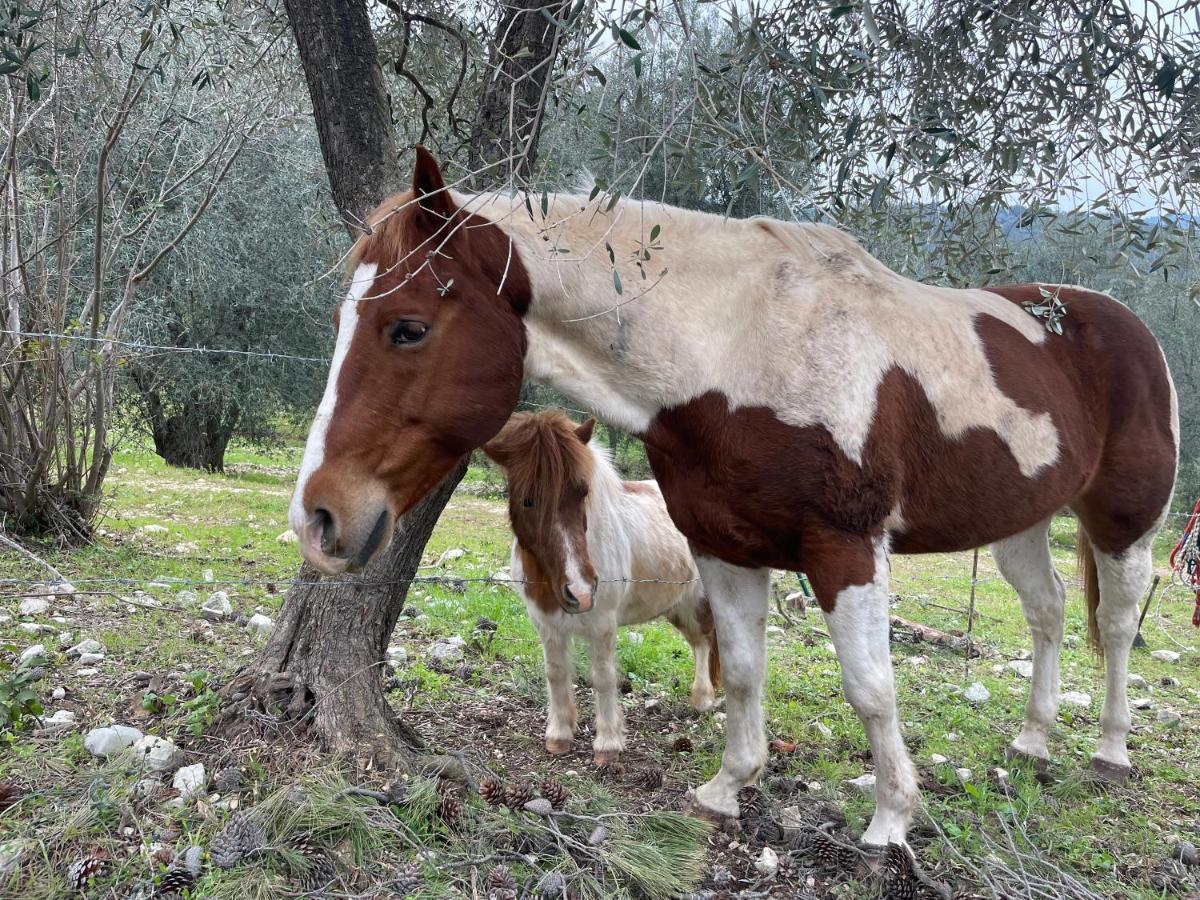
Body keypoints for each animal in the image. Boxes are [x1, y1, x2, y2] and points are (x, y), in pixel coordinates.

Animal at [480, 412, 715, 763]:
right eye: (528, 500)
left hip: (698, 602)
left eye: (582, 492)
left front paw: (608, 743)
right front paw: (560, 734)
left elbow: (603, 678)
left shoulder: (602, 624)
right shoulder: (545, 623)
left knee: (706, 642)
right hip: (677, 607)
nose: (580, 591)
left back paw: (703, 700)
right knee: (699, 642)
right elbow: (556, 672)